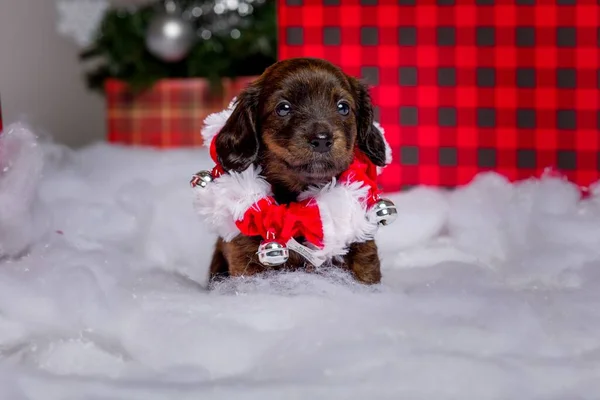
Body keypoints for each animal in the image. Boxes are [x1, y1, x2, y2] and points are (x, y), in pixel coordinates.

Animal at [210, 57, 390, 286]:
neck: (300, 211)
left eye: (343, 107)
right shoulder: (246, 258)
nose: (322, 140)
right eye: (283, 108)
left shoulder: (363, 252)